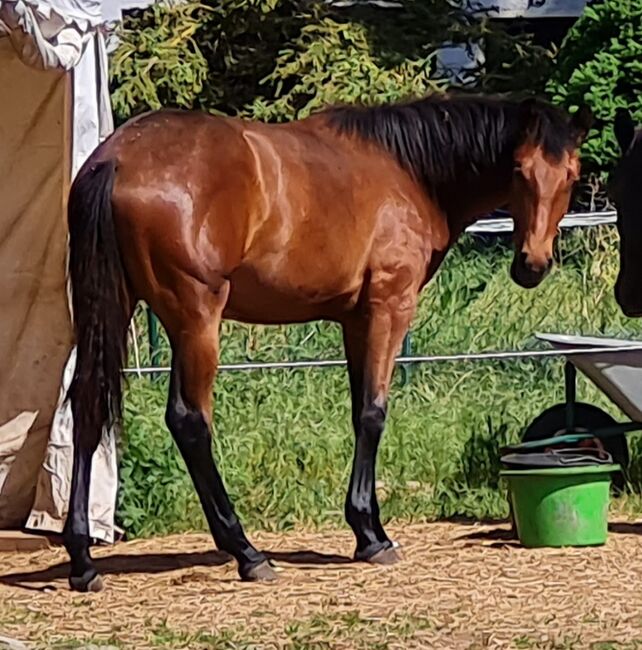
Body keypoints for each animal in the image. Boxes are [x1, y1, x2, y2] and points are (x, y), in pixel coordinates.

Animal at [63, 93, 592, 588]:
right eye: (521, 172)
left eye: (570, 175)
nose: (532, 265)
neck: (406, 170)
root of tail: (117, 158)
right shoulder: (388, 309)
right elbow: (373, 414)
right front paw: (371, 537)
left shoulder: (354, 321)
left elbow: (359, 411)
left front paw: (367, 527)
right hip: (196, 321)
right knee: (189, 421)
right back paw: (246, 551)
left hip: (111, 307)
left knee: (87, 407)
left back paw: (83, 559)